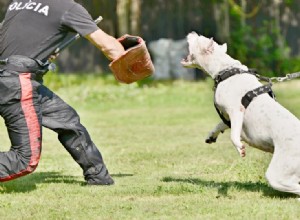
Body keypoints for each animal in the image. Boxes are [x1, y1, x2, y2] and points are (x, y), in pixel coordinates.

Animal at [182, 31, 300, 196]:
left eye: (198, 39)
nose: (192, 32)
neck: (225, 69)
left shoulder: (236, 111)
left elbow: (234, 135)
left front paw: (240, 148)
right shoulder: (228, 117)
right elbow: (220, 125)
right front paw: (211, 136)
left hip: (278, 174)